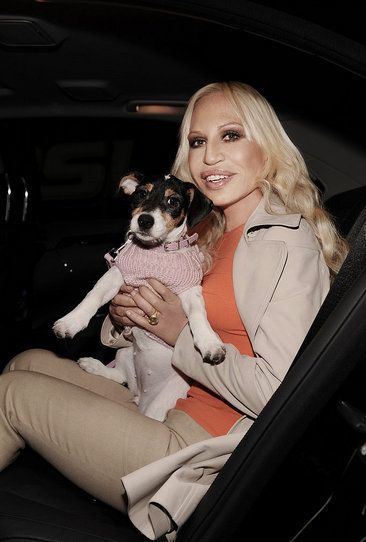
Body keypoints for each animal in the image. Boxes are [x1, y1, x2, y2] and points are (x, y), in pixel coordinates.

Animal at [53, 173, 226, 420]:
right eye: (141, 194)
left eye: (173, 201)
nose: (144, 221)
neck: (155, 253)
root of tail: (140, 398)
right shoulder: (117, 273)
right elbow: (93, 296)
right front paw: (71, 322)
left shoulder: (189, 288)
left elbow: (197, 314)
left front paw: (209, 342)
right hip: (125, 352)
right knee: (121, 376)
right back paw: (95, 366)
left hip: (159, 406)